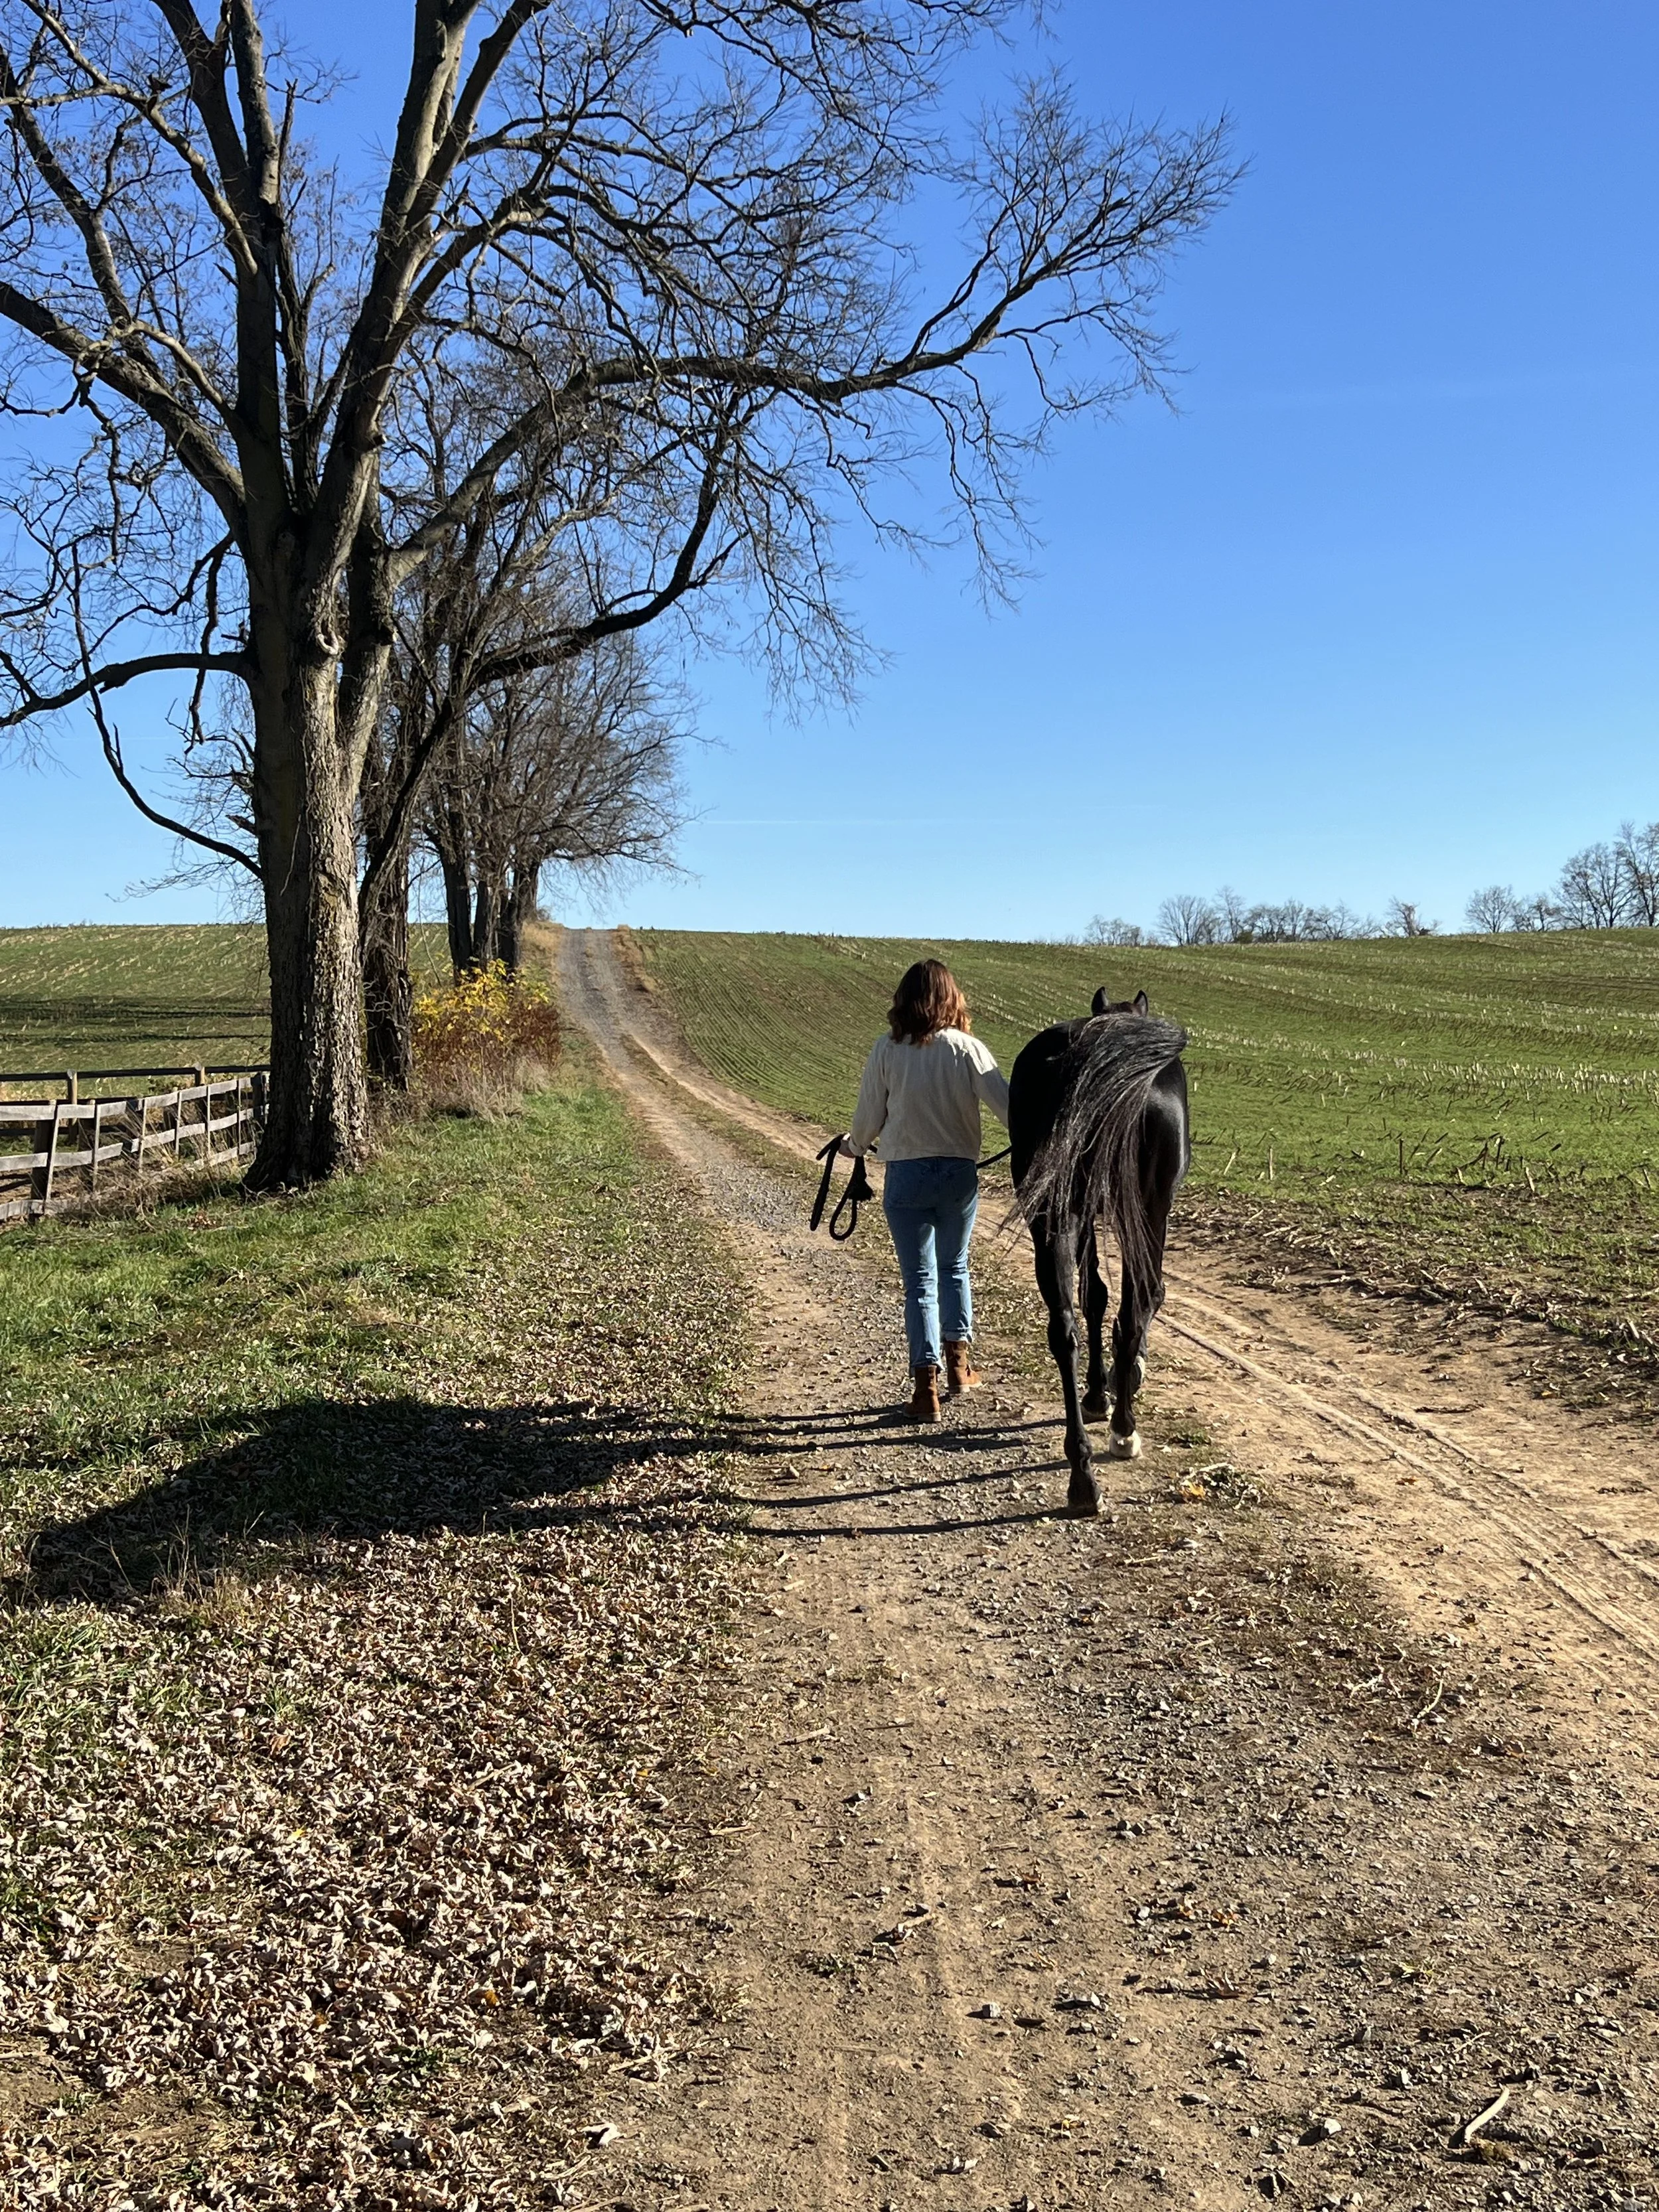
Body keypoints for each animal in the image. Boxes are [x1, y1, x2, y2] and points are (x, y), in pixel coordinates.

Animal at [1008, 988, 1190, 1518]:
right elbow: (1142, 1299)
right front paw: (1121, 1382)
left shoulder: (1083, 1212)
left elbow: (1094, 1297)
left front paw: (1098, 1392)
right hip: (1145, 1210)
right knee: (1137, 1304)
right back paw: (1123, 1431)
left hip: (1052, 1212)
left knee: (1063, 1326)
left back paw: (1082, 1474)